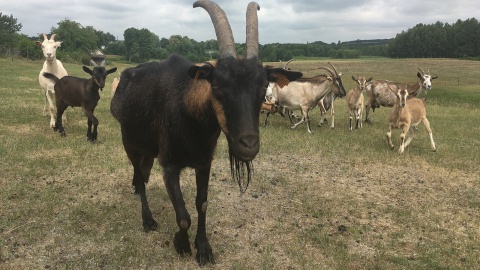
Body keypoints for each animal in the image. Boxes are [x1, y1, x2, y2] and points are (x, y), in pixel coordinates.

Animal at [110, 0, 302, 266]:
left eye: (264, 86)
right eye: (218, 86)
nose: (248, 145)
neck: (189, 114)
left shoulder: (204, 162)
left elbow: (202, 204)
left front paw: (203, 248)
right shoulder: (169, 164)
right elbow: (183, 214)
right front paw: (181, 244)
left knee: (143, 178)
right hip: (130, 144)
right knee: (139, 177)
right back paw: (147, 220)